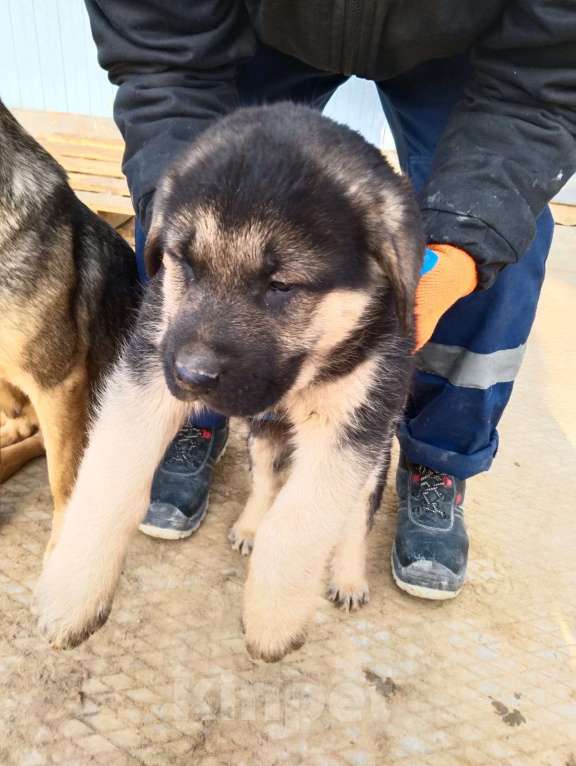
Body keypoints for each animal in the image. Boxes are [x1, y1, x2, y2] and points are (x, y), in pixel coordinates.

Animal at [36, 105, 424, 664]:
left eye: (281, 286)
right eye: (185, 264)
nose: (191, 376)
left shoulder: (354, 424)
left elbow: (301, 524)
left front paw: (273, 619)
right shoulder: (146, 370)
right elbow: (109, 482)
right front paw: (71, 595)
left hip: (373, 456)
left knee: (354, 517)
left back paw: (348, 576)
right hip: (261, 437)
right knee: (265, 482)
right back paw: (249, 526)